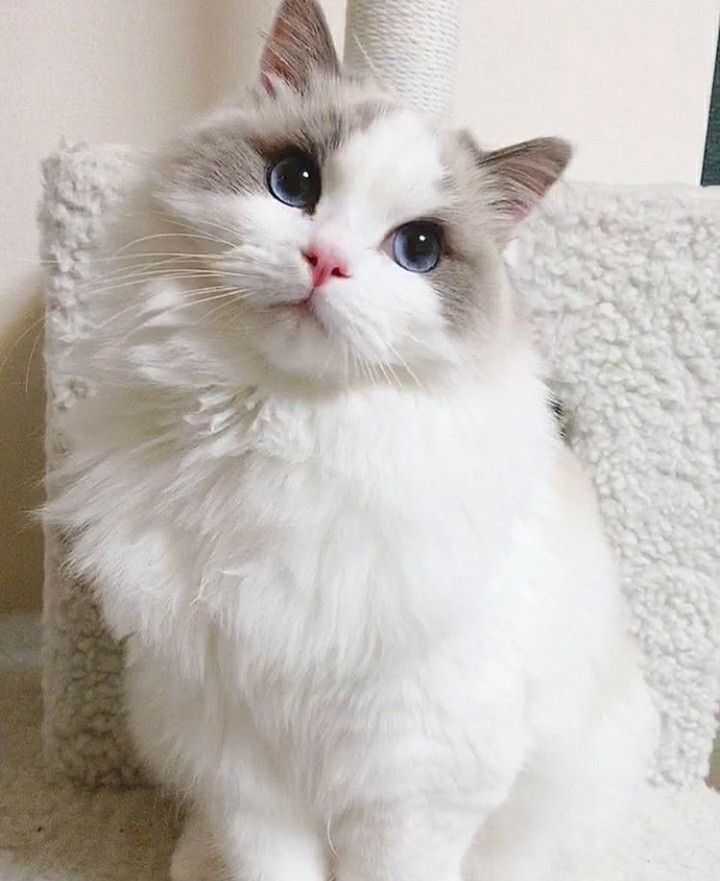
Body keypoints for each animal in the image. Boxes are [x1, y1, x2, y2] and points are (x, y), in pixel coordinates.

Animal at [50, 1, 660, 880]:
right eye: (295, 182)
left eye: (418, 250)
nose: (325, 260)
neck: (282, 433)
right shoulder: (246, 768)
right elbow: (268, 863)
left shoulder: (412, 776)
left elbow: (392, 863)